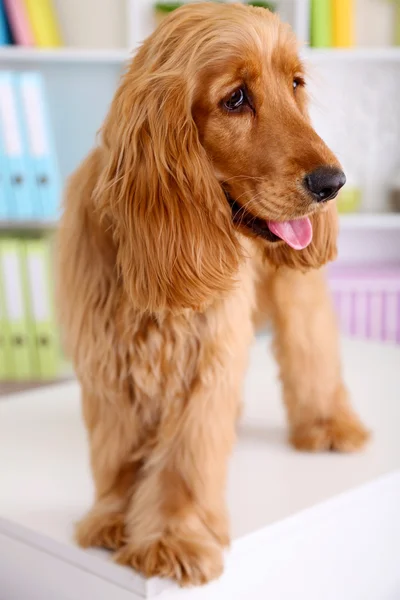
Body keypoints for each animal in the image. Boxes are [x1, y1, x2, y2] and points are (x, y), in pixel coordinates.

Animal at [56, 2, 368, 588]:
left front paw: (172, 537)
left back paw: (329, 425)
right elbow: (118, 447)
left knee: (312, 351)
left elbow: (186, 456)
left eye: (295, 84)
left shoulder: (205, 356)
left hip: (296, 292)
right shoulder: (107, 352)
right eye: (236, 99)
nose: (333, 183)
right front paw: (114, 519)